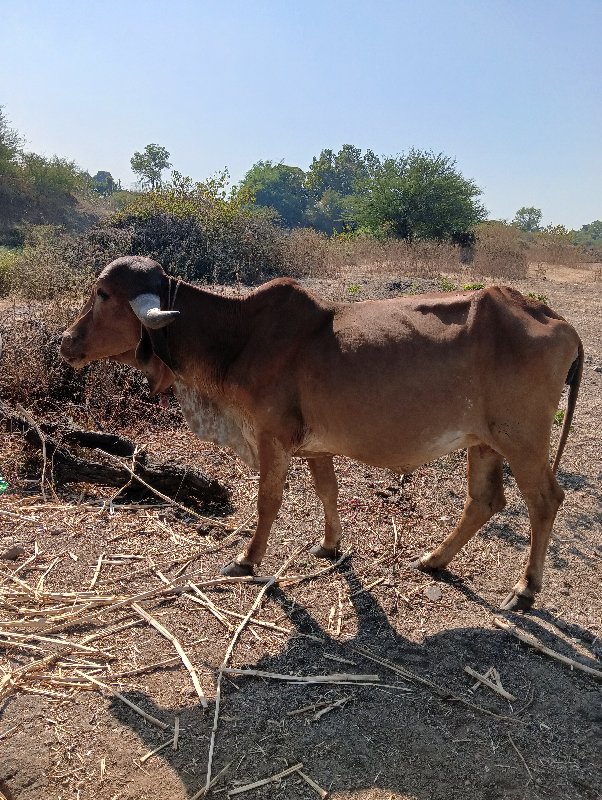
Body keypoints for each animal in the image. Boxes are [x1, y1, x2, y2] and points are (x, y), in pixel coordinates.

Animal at [62, 260, 580, 608]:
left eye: (102, 294)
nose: (66, 341)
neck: (238, 338)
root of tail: (556, 319)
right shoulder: (315, 446)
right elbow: (327, 491)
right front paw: (330, 545)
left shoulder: (271, 438)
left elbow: (268, 502)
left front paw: (247, 560)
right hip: (485, 442)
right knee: (485, 501)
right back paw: (434, 560)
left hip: (523, 439)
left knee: (544, 500)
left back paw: (525, 589)